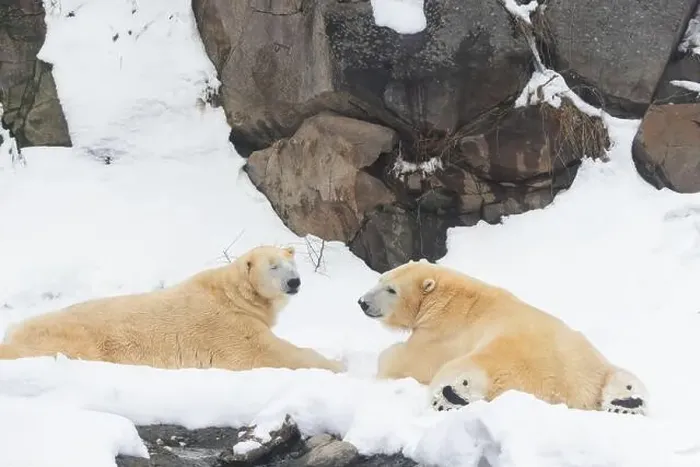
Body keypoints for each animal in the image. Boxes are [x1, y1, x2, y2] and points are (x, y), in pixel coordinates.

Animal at [0, 245, 345, 373]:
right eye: (273, 266)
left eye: (291, 263)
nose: (294, 282)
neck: (232, 294)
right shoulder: (227, 325)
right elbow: (266, 352)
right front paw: (338, 363)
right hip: (71, 337)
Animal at [357, 259, 648, 415]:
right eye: (380, 279)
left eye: (391, 289)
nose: (362, 302)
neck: (445, 298)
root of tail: (567, 392)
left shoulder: (443, 333)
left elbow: (407, 360)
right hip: (591, 360)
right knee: (623, 376)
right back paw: (627, 402)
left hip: (505, 356)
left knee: (463, 371)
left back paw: (450, 396)